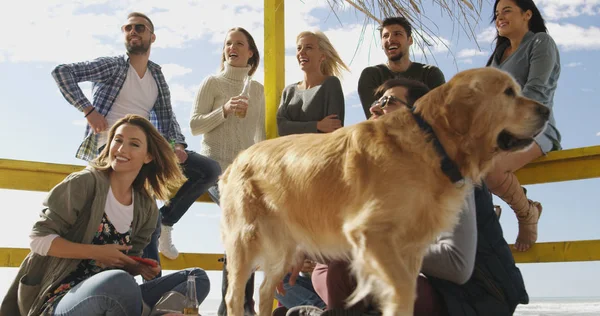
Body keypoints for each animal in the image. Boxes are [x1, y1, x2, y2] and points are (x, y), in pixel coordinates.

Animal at [219, 67, 548, 316]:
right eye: (508, 93)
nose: (546, 110)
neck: (431, 141)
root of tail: (237, 159)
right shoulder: (371, 234)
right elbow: (401, 290)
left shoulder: (411, 249)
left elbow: (409, 291)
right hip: (244, 240)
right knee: (234, 296)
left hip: (284, 248)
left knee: (264, 292)